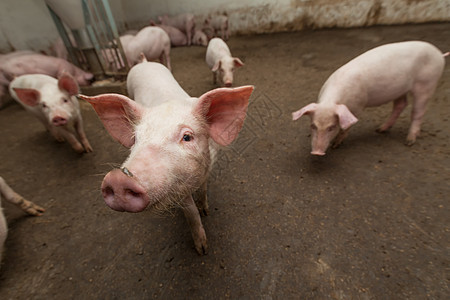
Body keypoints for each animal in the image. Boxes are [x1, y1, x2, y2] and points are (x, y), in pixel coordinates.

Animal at [79, 62, 255, 254]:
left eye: (187, 137)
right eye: (135, 138)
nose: (119, 178)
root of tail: (144, 61)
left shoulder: (209, 165)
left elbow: (203, 189)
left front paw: (205, 211)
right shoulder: (179, 188)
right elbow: (191, 212)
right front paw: (202, 249)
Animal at [292, 40, 446, 156]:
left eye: (332, 127)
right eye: (313, 125)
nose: (317, 152)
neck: (330, 101)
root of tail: (440, 54)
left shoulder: (357, 107)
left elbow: (347, 127)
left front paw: (335, 145)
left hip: (426, 84)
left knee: (418, 111)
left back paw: (409, 141)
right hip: (400, 90)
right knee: (401, 104)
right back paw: (380, 130)